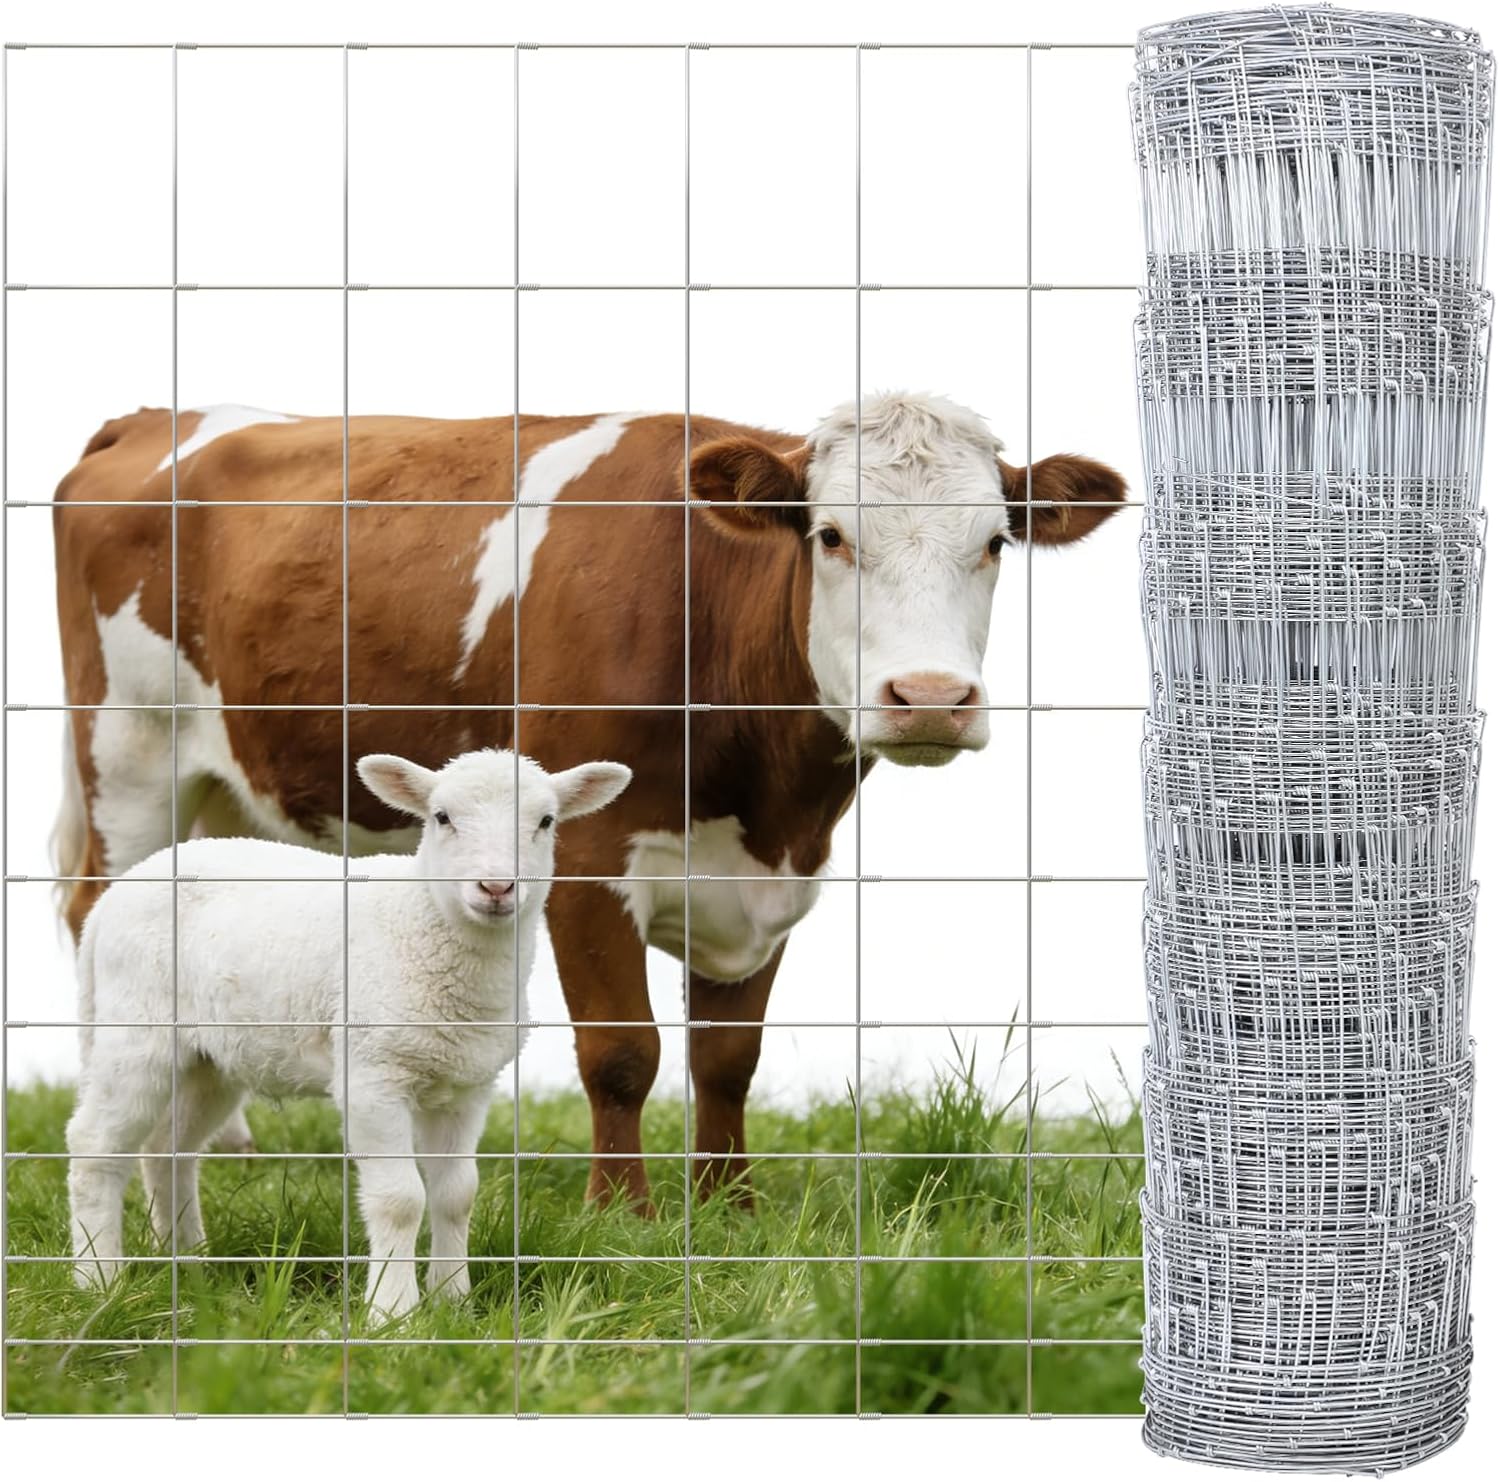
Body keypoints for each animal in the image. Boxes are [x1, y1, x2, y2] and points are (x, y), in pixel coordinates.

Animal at [52, 393, 1124, 1210]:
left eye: (996, 542)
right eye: (830, 535)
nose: (931, 698)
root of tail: (151, 420)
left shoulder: (773, 881)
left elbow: (727, 1058)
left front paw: (727, 1209)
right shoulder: (585, 857)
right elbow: (622, 1052)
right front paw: (626, 1215)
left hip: (224, 784)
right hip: (129, 753)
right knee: (92, 910)